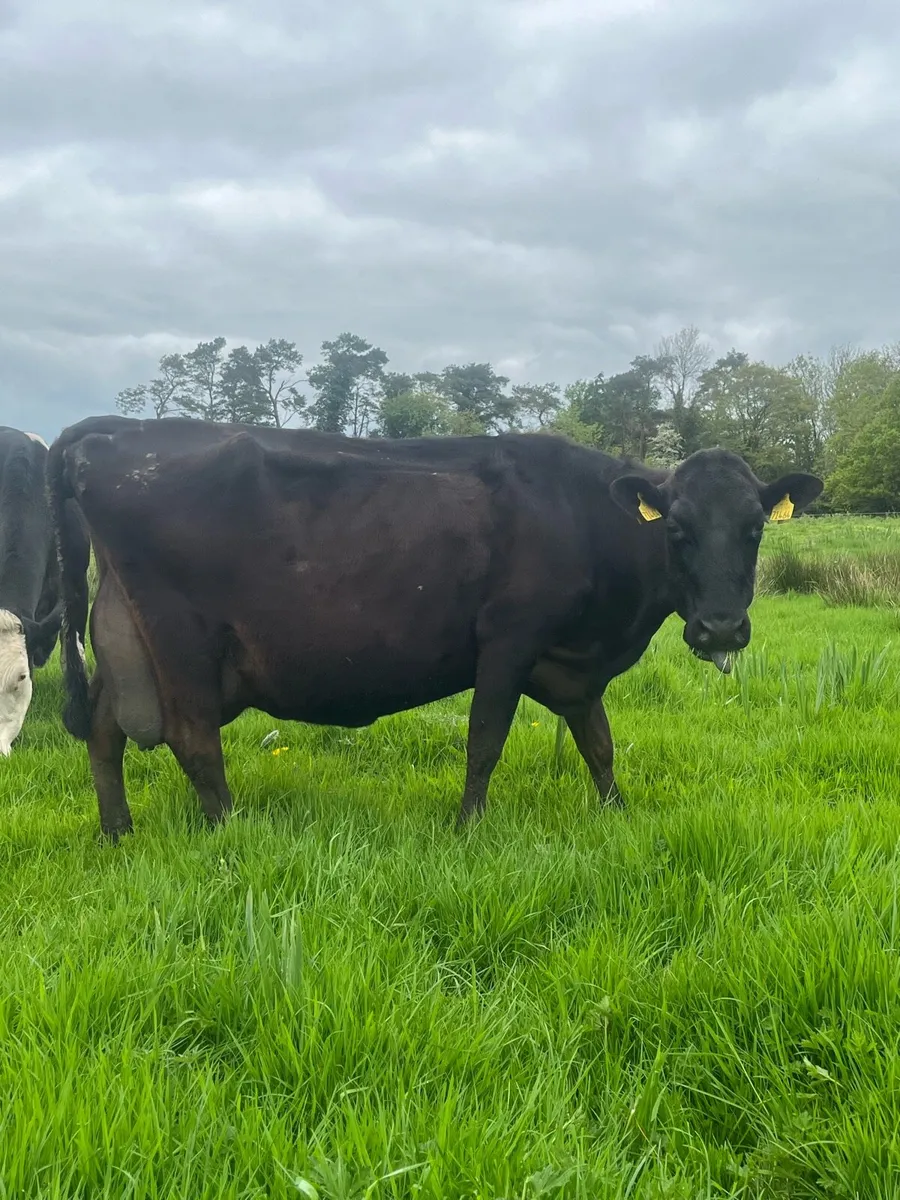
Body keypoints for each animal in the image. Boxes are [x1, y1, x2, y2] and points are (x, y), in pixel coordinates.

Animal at [47, 414, 822, 838]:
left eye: (755, 529)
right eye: (678, 531)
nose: (720, 629)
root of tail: (119, 430)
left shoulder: (572, 665)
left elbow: (599, 745)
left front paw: (617, 813)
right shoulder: (508, 639)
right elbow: (485, 742)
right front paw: (468, 828)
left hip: (123, 633)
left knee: (107, 730)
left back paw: (117, 834)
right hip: (180, 635)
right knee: (191, 738)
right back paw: (230, 832)